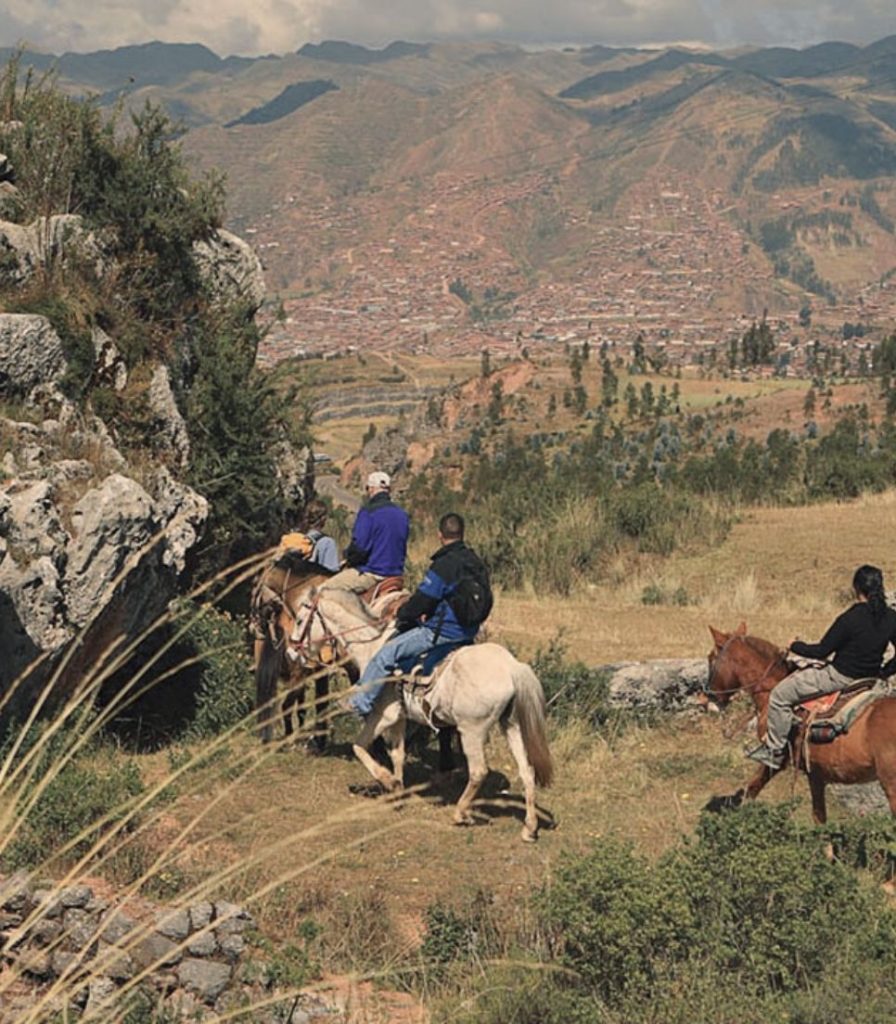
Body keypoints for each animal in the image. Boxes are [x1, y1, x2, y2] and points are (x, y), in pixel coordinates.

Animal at [290, 589, 552, 843]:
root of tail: (511, 667)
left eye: (301, 620)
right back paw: (529, 828)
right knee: (527, 771)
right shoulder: (399, 718)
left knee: (478, 772)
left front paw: (387, 780)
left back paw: (461, 813)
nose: (292, 651)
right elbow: (397, 754)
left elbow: (359, 747)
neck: (371, 648)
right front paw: (397, 790)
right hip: (511, 726)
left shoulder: (383, 715)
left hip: (471, 731)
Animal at [712, 622, 896, 823]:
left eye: (711, 658)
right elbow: (818, 816)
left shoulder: (776, 755)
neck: (771, 689)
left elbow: (752, 787)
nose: (706, 697)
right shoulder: (815, 773)